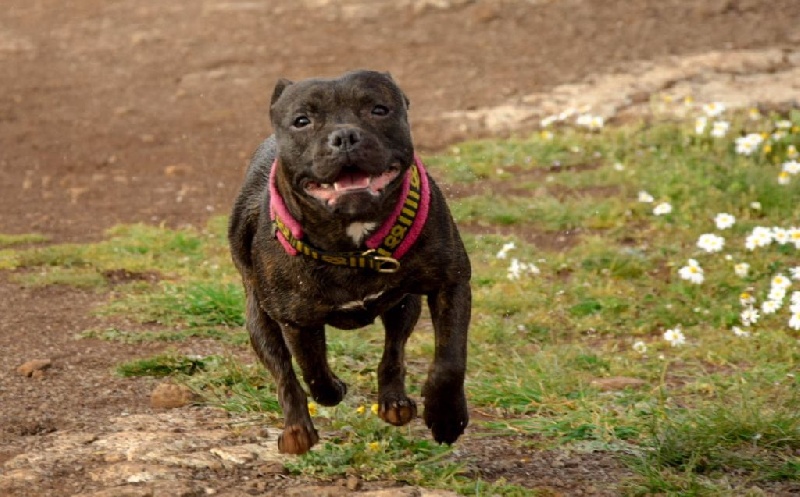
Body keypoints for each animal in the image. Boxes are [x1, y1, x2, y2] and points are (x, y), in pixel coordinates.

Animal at [228, 70, 472, 454]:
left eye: (379, 109)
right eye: (302, 121)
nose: (344, 136)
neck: (353, 242)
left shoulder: (451, 282)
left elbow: (449, 360)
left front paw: (447, 417)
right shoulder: (296, 320)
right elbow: (312, 370)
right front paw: (332, 389)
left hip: (404, 306)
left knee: (393, 351)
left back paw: (393, 403)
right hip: (259, 319)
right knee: (284, 374)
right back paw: (297, 430)